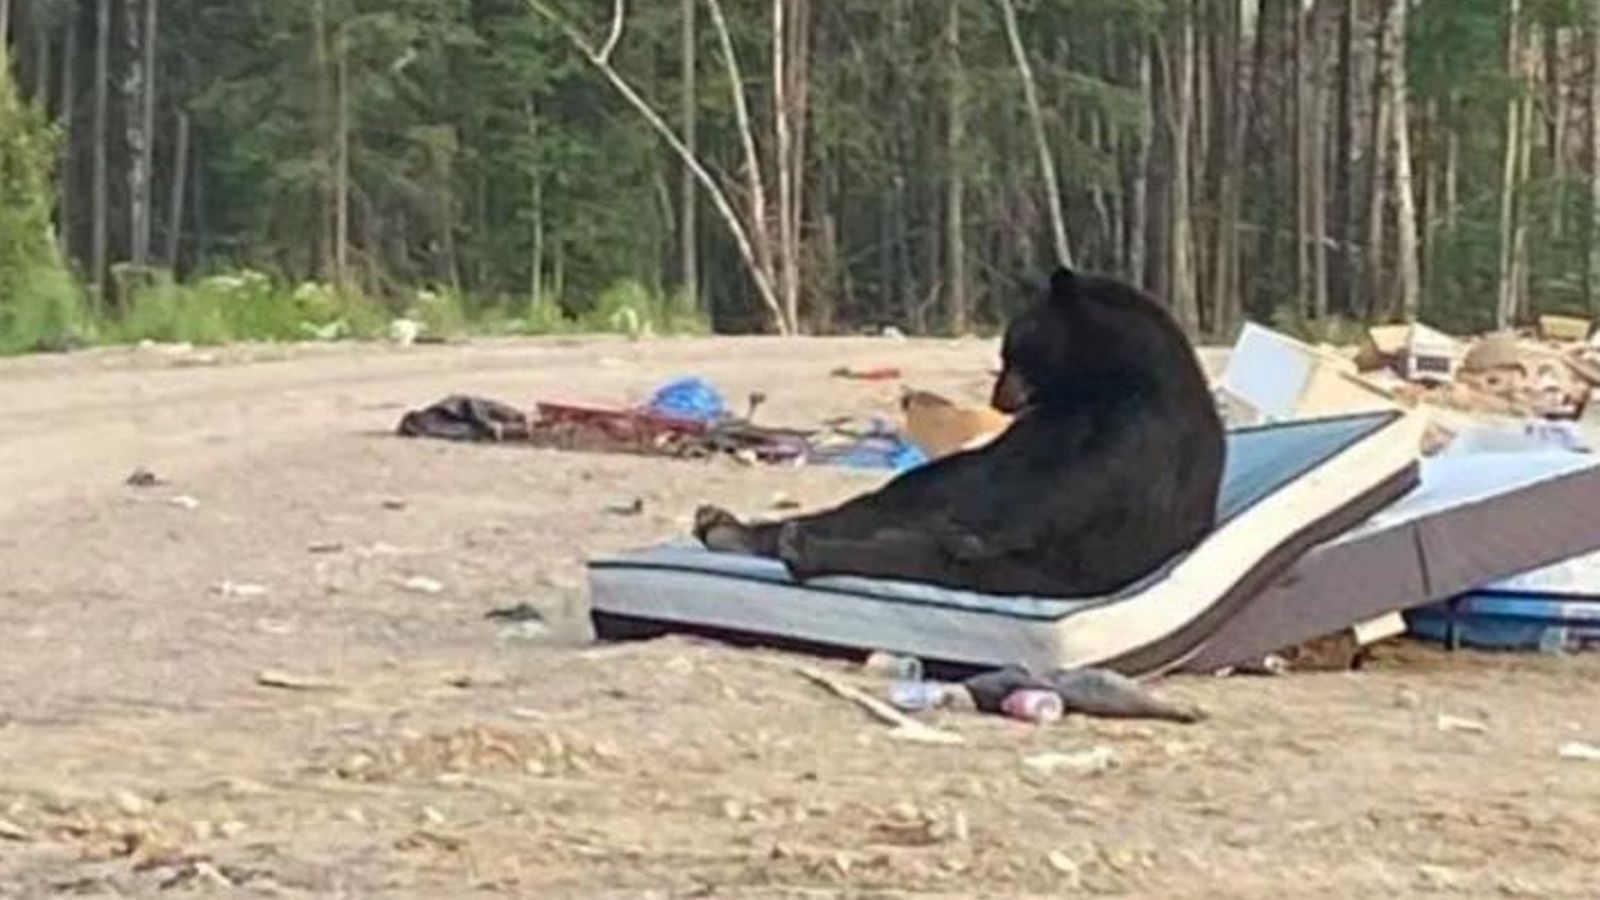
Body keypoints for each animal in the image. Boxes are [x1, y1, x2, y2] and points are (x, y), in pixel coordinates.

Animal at [693, 265, 1226, 598]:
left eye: (1012, 349)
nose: (998, 397)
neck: (1106, 380)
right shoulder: (1036, 433)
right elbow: (985, 472)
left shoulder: (1145, 432)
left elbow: (1078, 488)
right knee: (874, 509)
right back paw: (731, 528)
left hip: (1046, 567)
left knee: (920, 555)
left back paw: (805, 548)